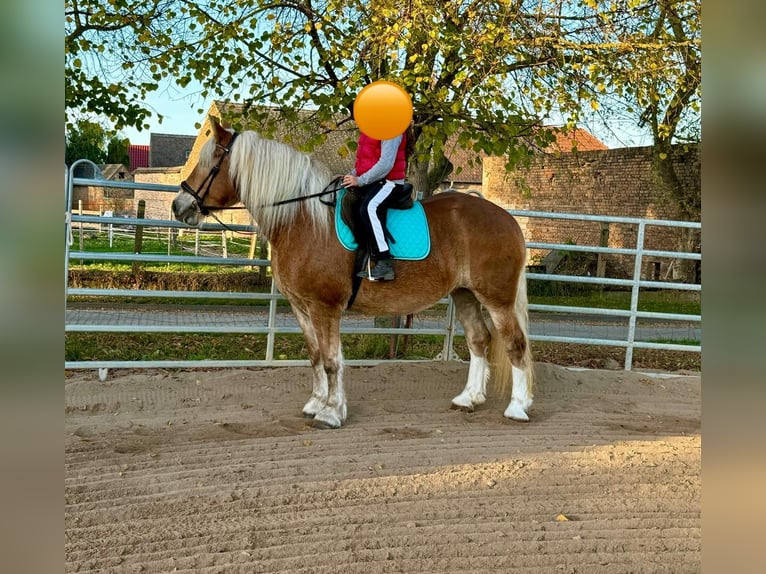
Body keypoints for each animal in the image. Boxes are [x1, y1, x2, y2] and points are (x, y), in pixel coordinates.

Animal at [172, 118, 536, 432]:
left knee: (515, 345)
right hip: (465, 294)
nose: (179, 206)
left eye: (211, 163)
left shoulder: (325, 307)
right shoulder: (301, 307)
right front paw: (316, 404)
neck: (303, 220)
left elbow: (332, 361)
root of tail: (507, 218)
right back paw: (468, 399)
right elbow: (316, 357)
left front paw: (331, 413)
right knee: (479, 341)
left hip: (497, 298)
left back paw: (517, 407)